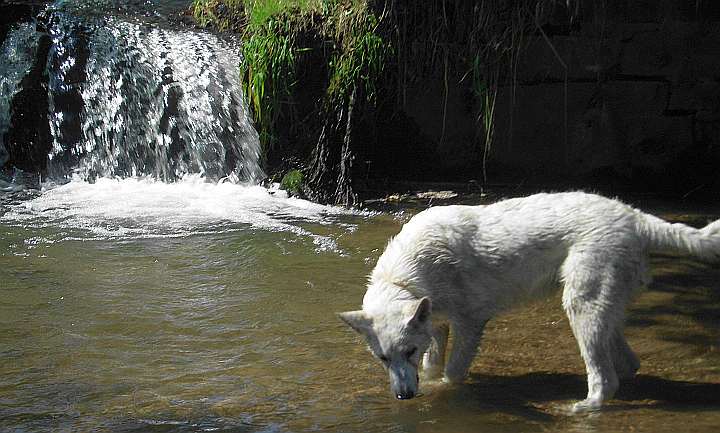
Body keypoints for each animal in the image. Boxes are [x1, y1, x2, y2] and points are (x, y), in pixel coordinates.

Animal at [338, 192, 720, 408]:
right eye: (383, 359)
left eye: (409, 352)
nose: (404, 397)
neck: (407, 275)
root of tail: (636, 217)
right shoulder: (438, 325)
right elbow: (433, 367)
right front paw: (428, 385)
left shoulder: (470, 324)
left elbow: (452, 373)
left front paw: (441, 393)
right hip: (603, 309)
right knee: (629, 364)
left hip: (580, 308)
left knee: (604, 378)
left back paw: (584, 406)